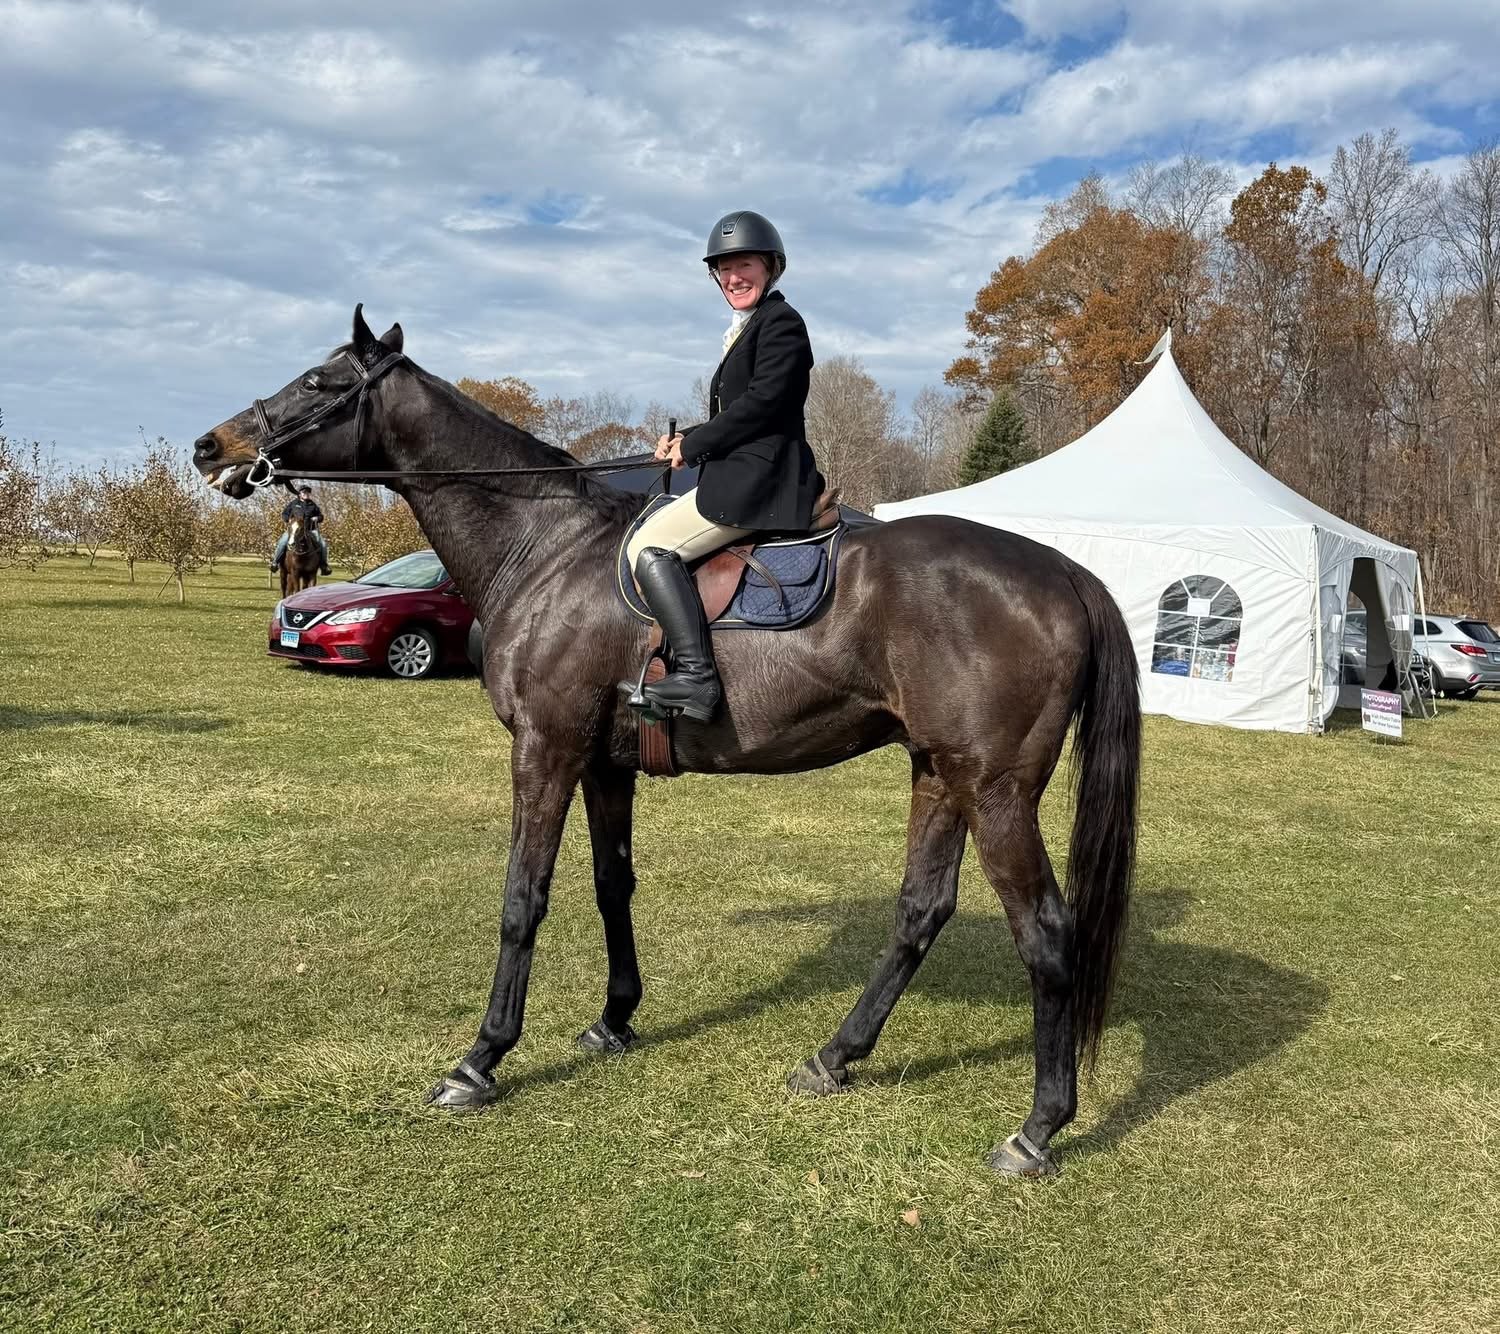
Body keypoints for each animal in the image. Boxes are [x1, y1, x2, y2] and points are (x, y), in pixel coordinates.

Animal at [192, 306, 1141, 1178]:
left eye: (319, 381)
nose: (209, 446)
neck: (544, 547)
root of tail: (1065, 572)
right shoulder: (604, 763)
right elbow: (612, 886)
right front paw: (615, 1019)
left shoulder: (545, 749)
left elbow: (522, 899)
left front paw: (481, 1059)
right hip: (939, 772)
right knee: (921, 910)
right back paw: (833, 1059)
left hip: (995, 789)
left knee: (1045, 933)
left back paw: (1037, 1128)